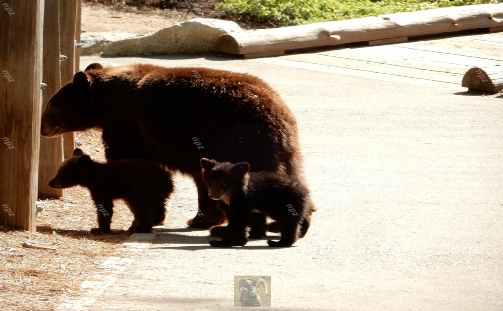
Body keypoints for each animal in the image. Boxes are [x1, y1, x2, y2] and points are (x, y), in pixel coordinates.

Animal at [41, 63, 312, 229]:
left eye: (51, 106)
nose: (42, 128)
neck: (107, 101)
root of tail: (279, 112)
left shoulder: (128, 125)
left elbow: (127, 161)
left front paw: (143, 218)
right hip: (280, 148)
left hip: (241, 140)